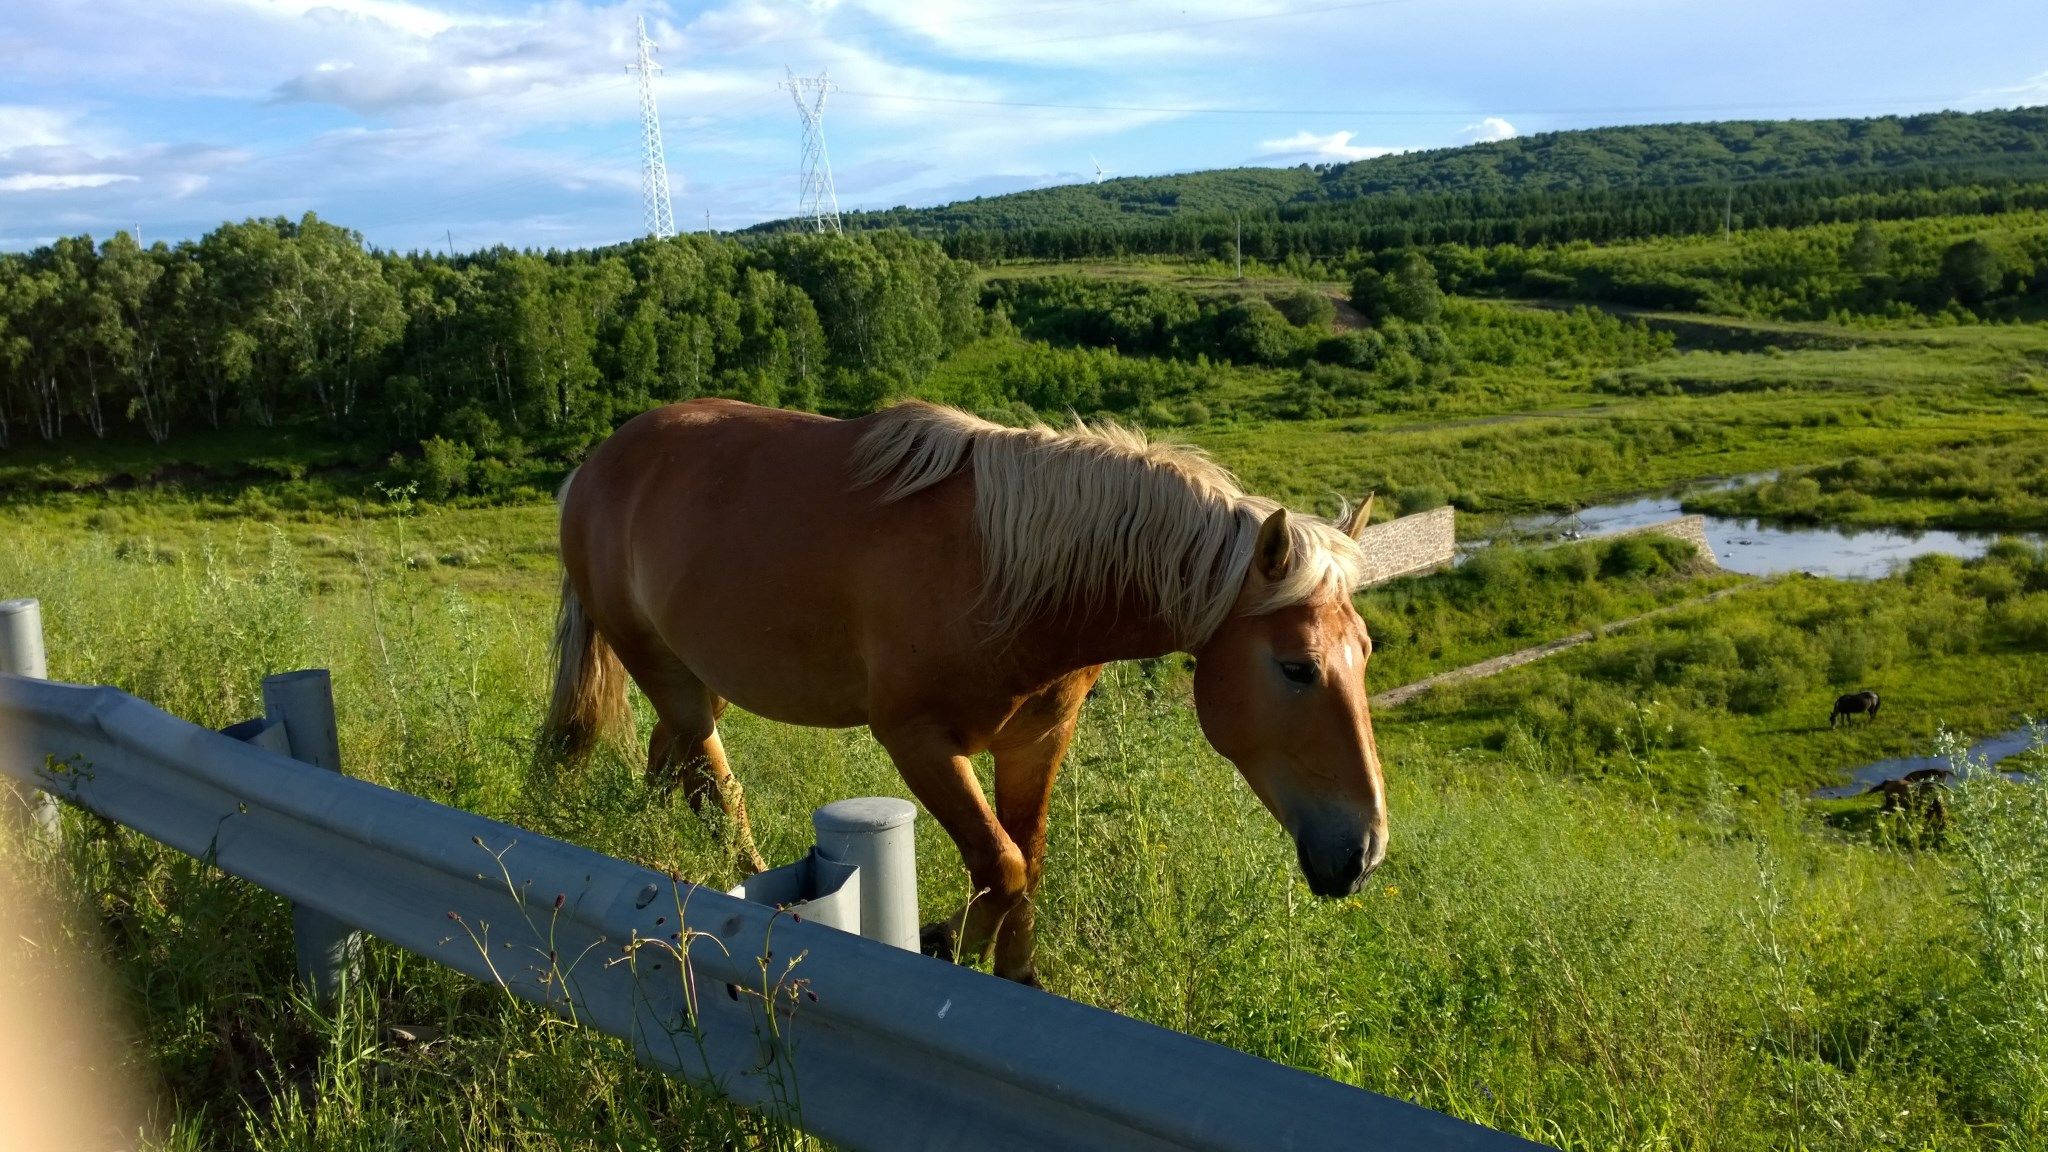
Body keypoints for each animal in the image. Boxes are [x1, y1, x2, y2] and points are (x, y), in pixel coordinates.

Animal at [540, 399, 1392, 983]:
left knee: (675, 762)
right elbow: (1002, 865)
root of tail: (594, 466)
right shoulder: (918, 741)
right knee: (716, 783)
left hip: (700, 676)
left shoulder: (1037, 741)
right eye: (1297, 667)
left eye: (1366, 654)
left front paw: (1018, 975)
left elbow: (1027, 861)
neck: (1012, 575)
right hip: (666, 671)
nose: (1362, 853)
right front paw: (943, 940)